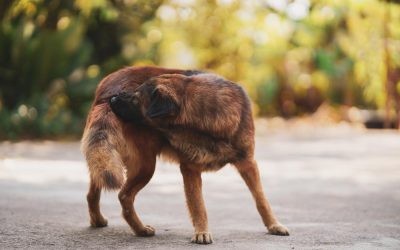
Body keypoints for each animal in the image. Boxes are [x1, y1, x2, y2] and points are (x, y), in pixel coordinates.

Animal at [109, 72, 290, 242]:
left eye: (135, 98)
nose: (112, 98)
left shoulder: (248, 163)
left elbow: (261, 199)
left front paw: (274, 225)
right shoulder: (190, 169)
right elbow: (198, 204)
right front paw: (202, 232)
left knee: (119, 195)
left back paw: (133, 228)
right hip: (145, 167)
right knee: (124, 196)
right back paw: (135, 228)